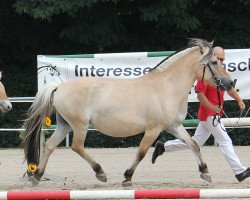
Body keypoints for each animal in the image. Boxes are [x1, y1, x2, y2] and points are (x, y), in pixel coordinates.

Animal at [22, 38, 234, 186]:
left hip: (65, 125)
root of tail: (59, 87)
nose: (230, 83)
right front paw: (127, 177)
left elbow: (193, 144)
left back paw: (37, 176)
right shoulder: (153, 130)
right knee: (77, 146)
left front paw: (205, 172)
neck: (167, 87)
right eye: (214, 62)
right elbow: (141, 153)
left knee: (50, 146)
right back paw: (100, 173)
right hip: (79, 126)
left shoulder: (174, 126)